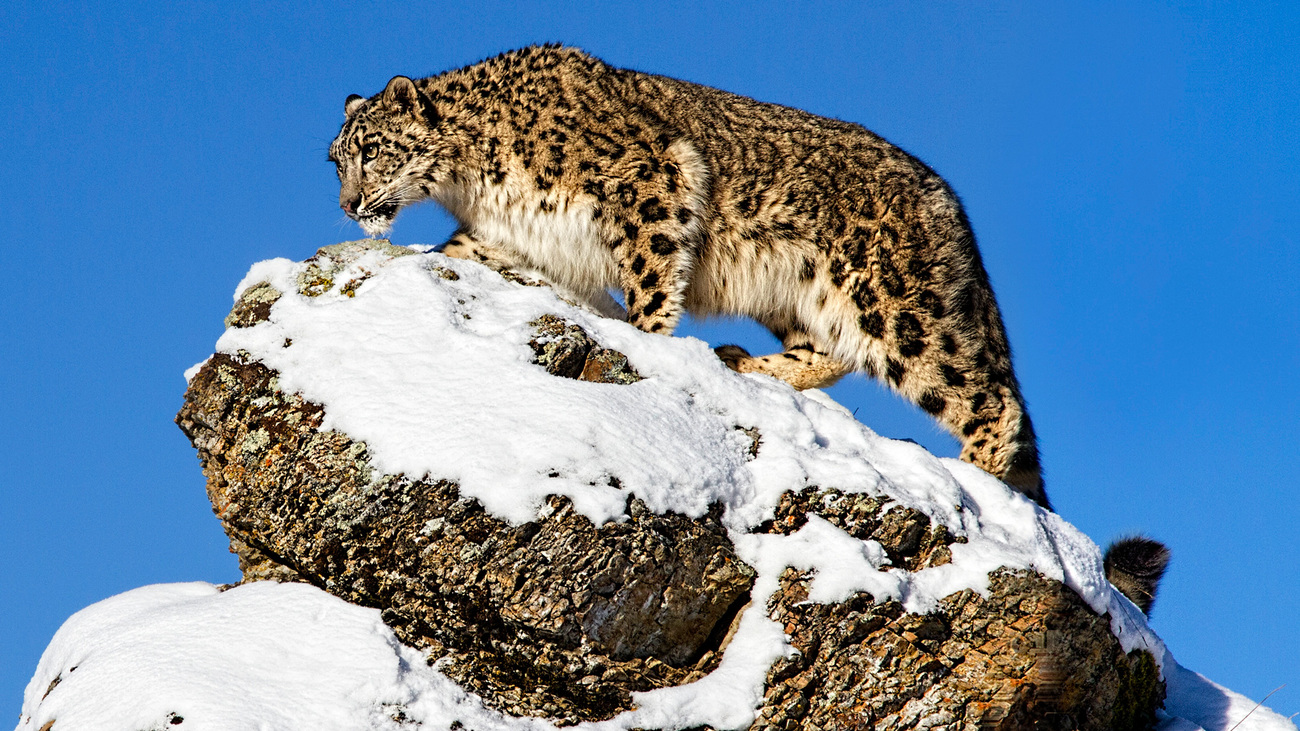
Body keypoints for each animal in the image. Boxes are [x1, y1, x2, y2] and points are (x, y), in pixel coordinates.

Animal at [330, 42, 1175, 606]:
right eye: (335, 158)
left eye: (370, 152)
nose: (347, 203)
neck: (473, 180)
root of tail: (949, 204)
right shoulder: (508, 237)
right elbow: (464, 256)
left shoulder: (649, 177)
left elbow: (651, 274)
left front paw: (648, 337)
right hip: (802, 297)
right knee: (831, 351)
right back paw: (749, 364)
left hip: (898, 305)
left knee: (985, 397)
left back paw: (974, 480)